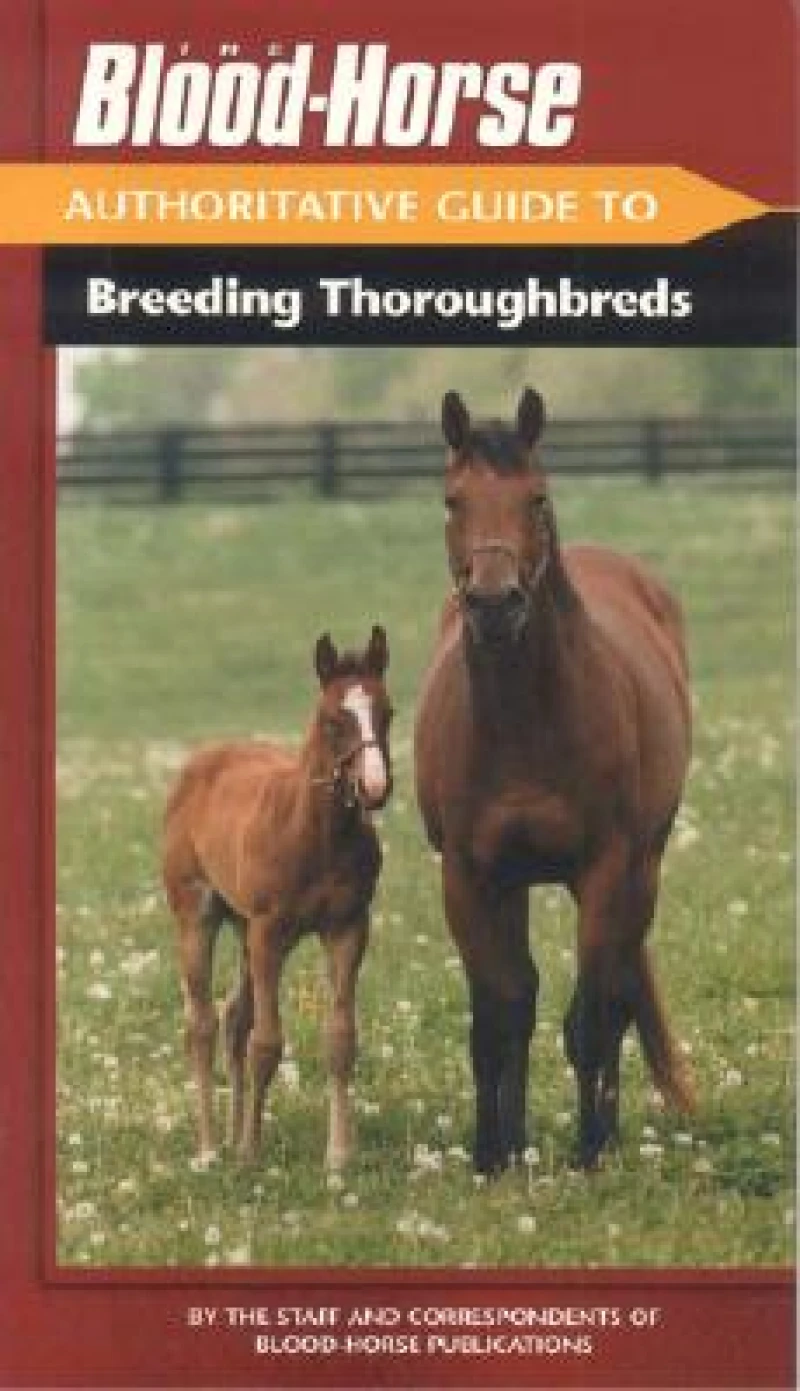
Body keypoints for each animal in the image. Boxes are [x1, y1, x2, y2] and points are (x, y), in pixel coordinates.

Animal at [162, 625, 393, 1170]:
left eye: (388, 713)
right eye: (332, 720)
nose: (374, 786)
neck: (316, 836)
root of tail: (203, 760)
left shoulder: (348, 929)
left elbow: (340, 1039)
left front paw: (339, 1154)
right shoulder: (271, 933)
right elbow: (266, 1043)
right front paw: (250, 1151)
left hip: (244, 927)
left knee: (232, 1018)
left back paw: (229, 1134)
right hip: (198, 914)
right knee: (202, 1024)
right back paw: (211, 1147)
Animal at [414, 389, 694, 1173]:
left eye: (536, 498)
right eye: (452, 500)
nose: (494, 603)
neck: (523, 724)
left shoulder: (604, 870)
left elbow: (591, 1018)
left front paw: (588, 1152)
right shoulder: (471, 877)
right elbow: (498, 1014)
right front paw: (494, 1154)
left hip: (643, 871)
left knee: (620, 993)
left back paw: (609, 1132)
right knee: (525, 998)